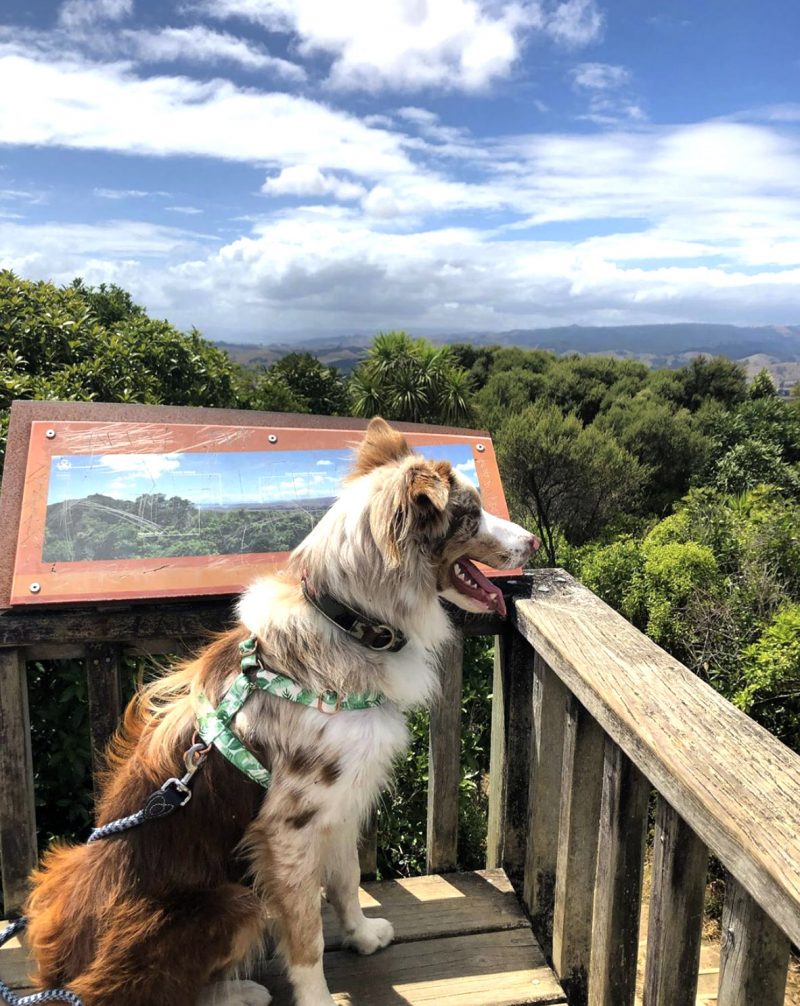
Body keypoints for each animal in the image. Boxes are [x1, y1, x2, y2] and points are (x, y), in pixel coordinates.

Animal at [23, 418, 539, 1006]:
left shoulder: (341, 802)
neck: (350, 623)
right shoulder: (288, 827)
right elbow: (307, 934)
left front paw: (362, 936)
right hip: (231, 901)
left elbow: (346, 881)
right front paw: (317, 996)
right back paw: (242, 991)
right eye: (471, 514)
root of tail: (61, 974)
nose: (533, 541)